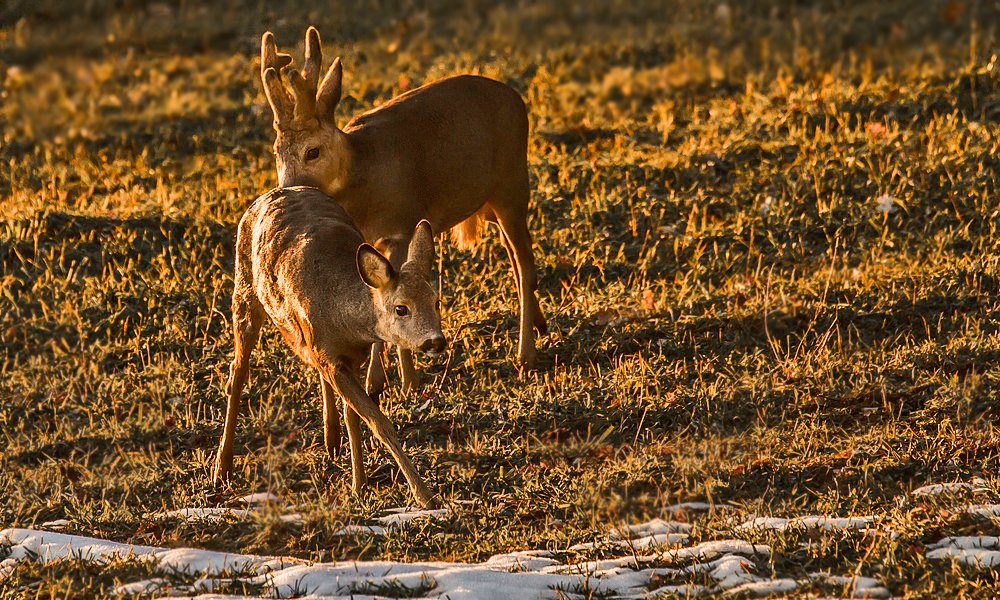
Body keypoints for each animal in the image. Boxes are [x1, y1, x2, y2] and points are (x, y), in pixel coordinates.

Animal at [215, 186, 446, 506]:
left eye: (436, 301)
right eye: (401, 308)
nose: (436, 340)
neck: (345, 318)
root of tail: (270, 194)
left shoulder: (351, 357)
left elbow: (354, 417)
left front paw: (359, 485)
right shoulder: (333, 358)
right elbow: (378, 422)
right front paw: (424, 495)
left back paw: (331, 440)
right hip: (244, 289)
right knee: (237, 371)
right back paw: (222, 469)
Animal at [254, 28, 548, 394]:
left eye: (313, 151)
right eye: (276, 151)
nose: (286, 190)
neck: (364, 173)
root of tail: (516, 98)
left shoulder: (401, 225)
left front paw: (401, 381)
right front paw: (382, 379)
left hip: (513, 184)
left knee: (523, 264)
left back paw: (526, 356)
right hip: (490, 202)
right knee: (516, 257)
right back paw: (539, 325)